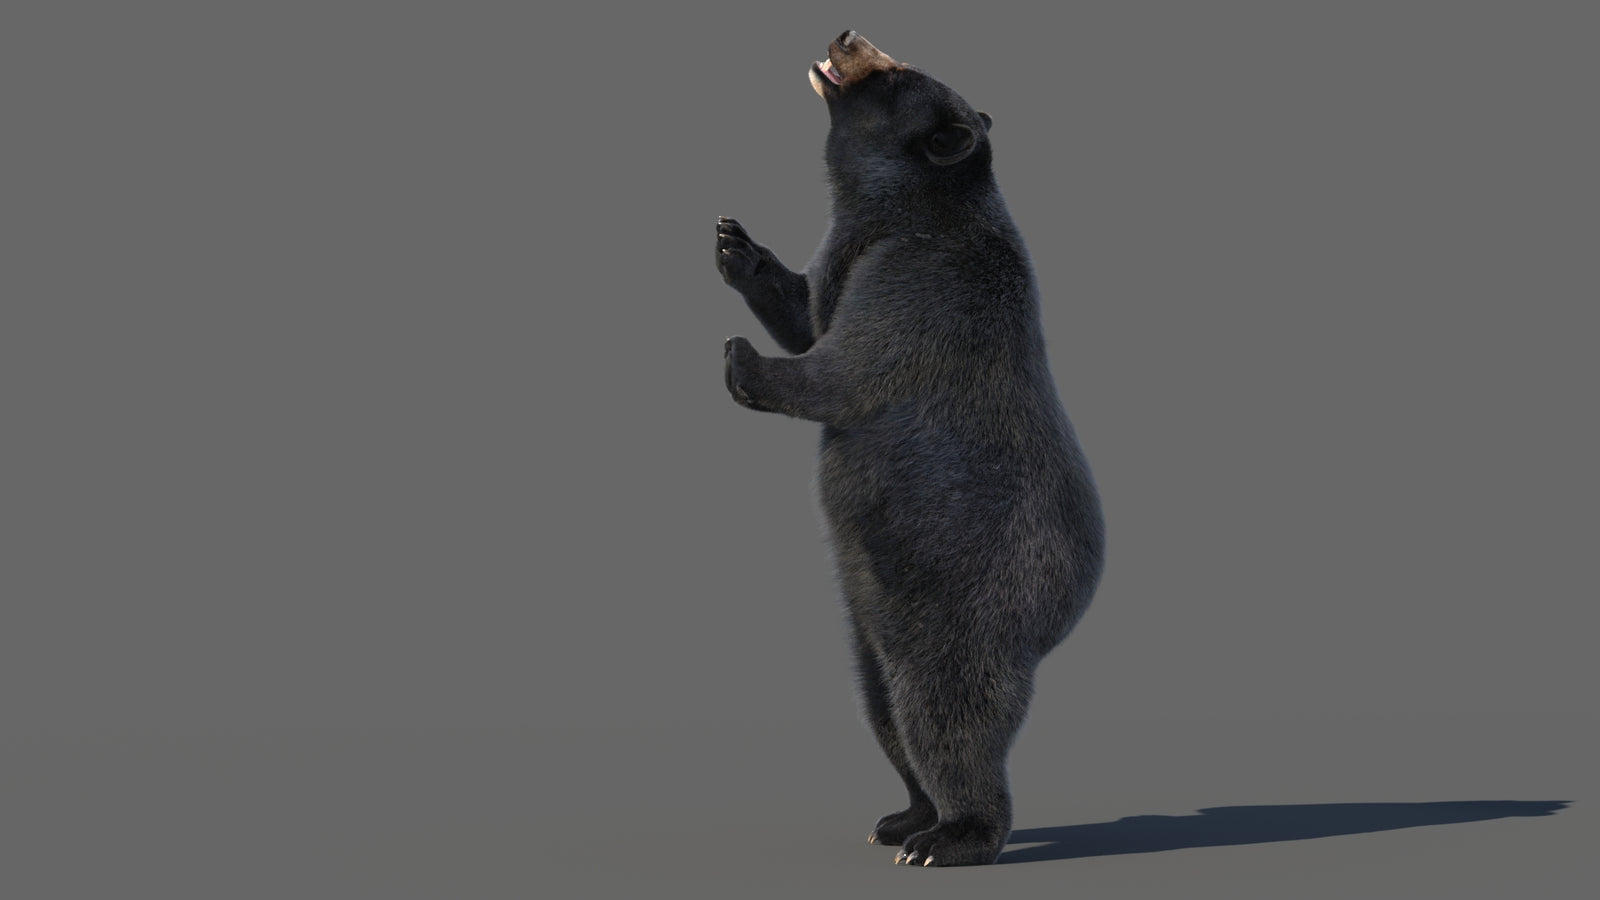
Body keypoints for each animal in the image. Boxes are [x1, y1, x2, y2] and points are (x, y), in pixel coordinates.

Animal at [716, 31, 1105, 867]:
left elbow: (851, 364)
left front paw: (740, 360)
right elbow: (809, 312)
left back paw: (951, 836)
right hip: (869, 626)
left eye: (897, 74)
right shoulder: (849, 255)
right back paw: (901, 817)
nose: (846, 35)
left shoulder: (922, 276)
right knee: (883, 708)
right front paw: (736, 246)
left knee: (945, 713)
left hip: (966, 604)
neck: (897, 211)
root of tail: (1061, 620)